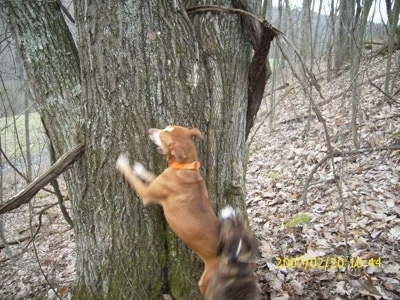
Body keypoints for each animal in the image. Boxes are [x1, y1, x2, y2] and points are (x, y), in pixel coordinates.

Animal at [115, 125, 220, 294]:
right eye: (166, 127)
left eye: (162, 136)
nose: (149, 130)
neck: (187, 168)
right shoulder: (158, 181)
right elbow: (150, 175)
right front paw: (139, 168)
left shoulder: (146, 194)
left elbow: (131, 177)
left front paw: (123, 163)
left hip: (207, 282)